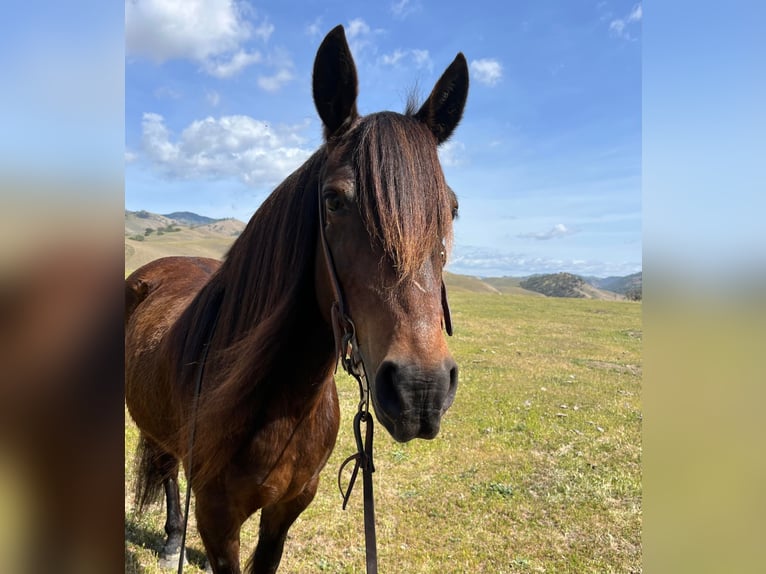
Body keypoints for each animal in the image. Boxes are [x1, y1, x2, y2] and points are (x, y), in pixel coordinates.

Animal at [126, 23, 472, 574]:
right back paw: (173, 540)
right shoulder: (217, 519)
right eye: (333, 201)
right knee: (166, 469)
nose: (421, 389)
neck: (276, 401)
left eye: (451, 208)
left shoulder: (289, 507)